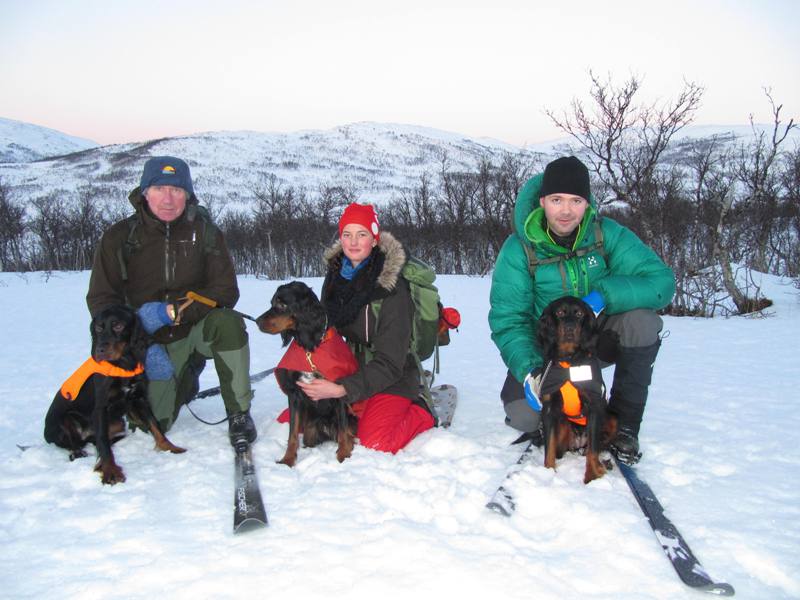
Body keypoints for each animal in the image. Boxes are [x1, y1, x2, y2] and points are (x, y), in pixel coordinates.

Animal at [45, 304, 186, 482]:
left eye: (118, 326)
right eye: (98, 328)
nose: (100, 350)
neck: (122, 364)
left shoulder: (139, 399)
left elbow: (155, 425)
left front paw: (170, 447)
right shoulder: (101, 408)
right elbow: (103, 442)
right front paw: (110, 471)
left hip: (117, 422)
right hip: (66, 419)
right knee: (74, 444)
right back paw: (79, 453)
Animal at [536, 298, 612, 486]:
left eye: (579, 313)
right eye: (559, 313)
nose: (570, 328)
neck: (569, 361)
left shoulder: (594, 406)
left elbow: (593, 450)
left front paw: (591, 476)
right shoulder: (549, 407)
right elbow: (549, 447)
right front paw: (548, 472)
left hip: (612, 419)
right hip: (563, 426)